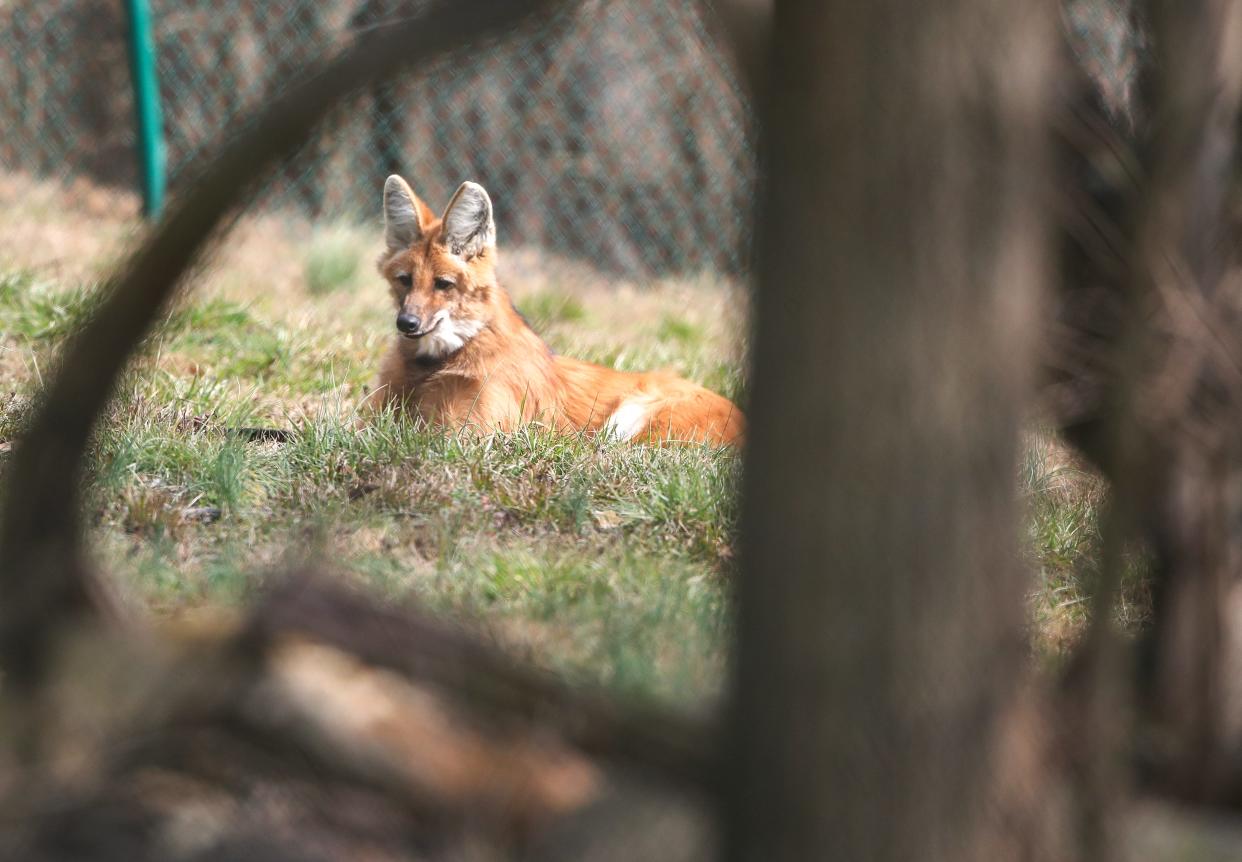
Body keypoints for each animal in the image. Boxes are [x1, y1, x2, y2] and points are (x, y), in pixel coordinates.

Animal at [362, 175, 740, 444]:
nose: (407, 322)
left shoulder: (468, 433)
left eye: (443, 284)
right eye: (405, 280)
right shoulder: (378, 414)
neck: (437, 361)